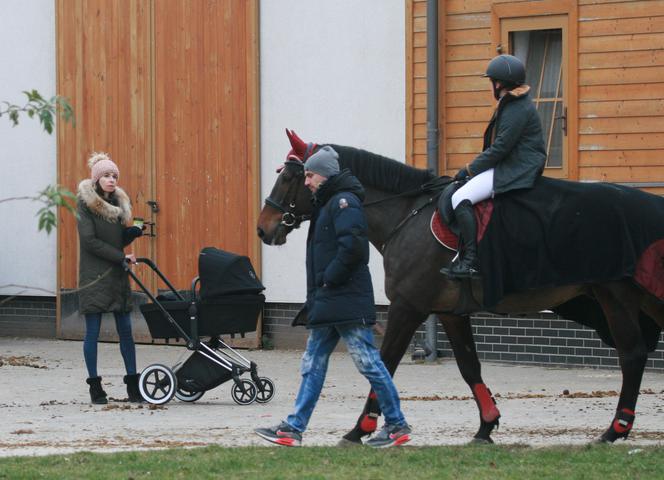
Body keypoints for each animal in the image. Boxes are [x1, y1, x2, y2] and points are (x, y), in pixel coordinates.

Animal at [255, 129, 664, 444]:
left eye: (289, 176)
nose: (263, 227)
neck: (406, 215)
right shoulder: (449, 312)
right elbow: (470, 367)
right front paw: (486, 425)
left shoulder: (407, 307)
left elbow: (384, 363)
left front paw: (362, 428)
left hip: (615, 295)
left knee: (631, 354)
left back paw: (615, 429)